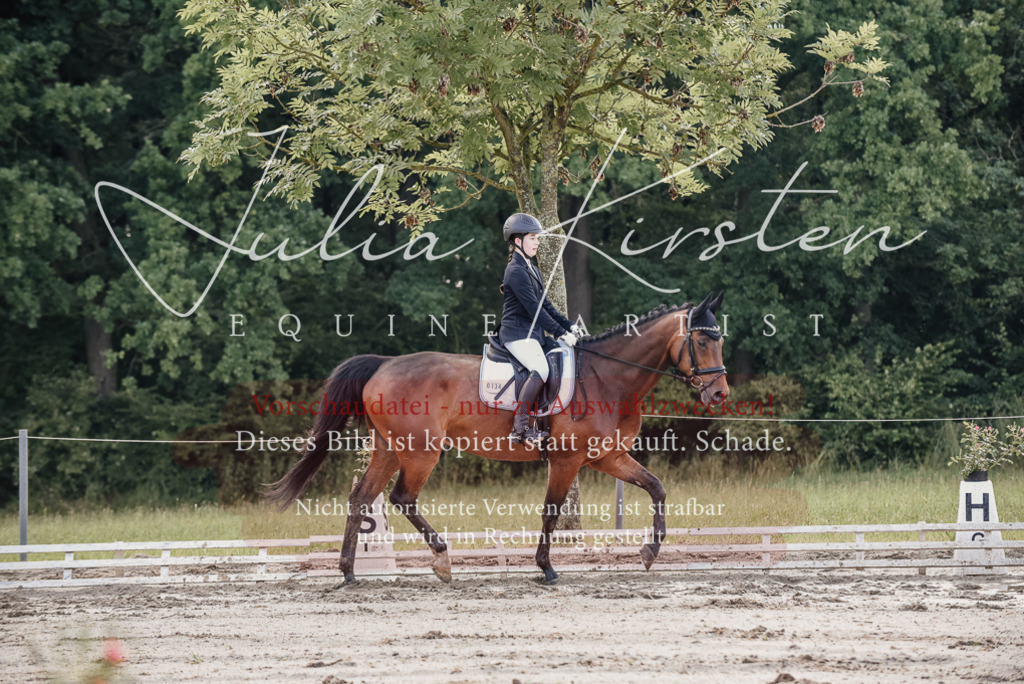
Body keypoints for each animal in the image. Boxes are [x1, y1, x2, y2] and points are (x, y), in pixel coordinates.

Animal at [267, 291, 729, 585]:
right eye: (702, 341)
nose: (719, 394)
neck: (607, 377)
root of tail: (382, 364)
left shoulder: (605, 457)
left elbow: (657, 488)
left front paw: (650, 553)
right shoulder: (567, 460)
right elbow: (551, 511)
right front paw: (545, 569)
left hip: (389, 449)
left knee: (362, 497)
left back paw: (348, 572)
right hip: (420, 452)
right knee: (401, 498)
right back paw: (442, 560)